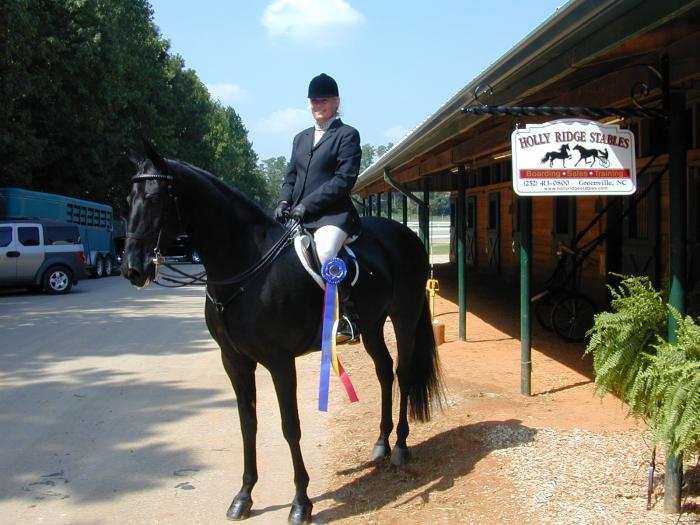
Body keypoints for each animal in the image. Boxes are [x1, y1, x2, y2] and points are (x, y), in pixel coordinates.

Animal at [121, 144, 442, 524]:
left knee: (403, 373)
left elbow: (291, 426)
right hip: (373, 325)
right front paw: (243, 497)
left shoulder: (279, 361)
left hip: (403, 317)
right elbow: (248, 424)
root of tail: (408, 236)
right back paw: (380, 444)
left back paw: (401, 448)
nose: (132, 269)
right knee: (384, 371)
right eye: (128, 198)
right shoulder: (234, 361)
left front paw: (301, 503)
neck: (247, 268)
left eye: (155, 198)